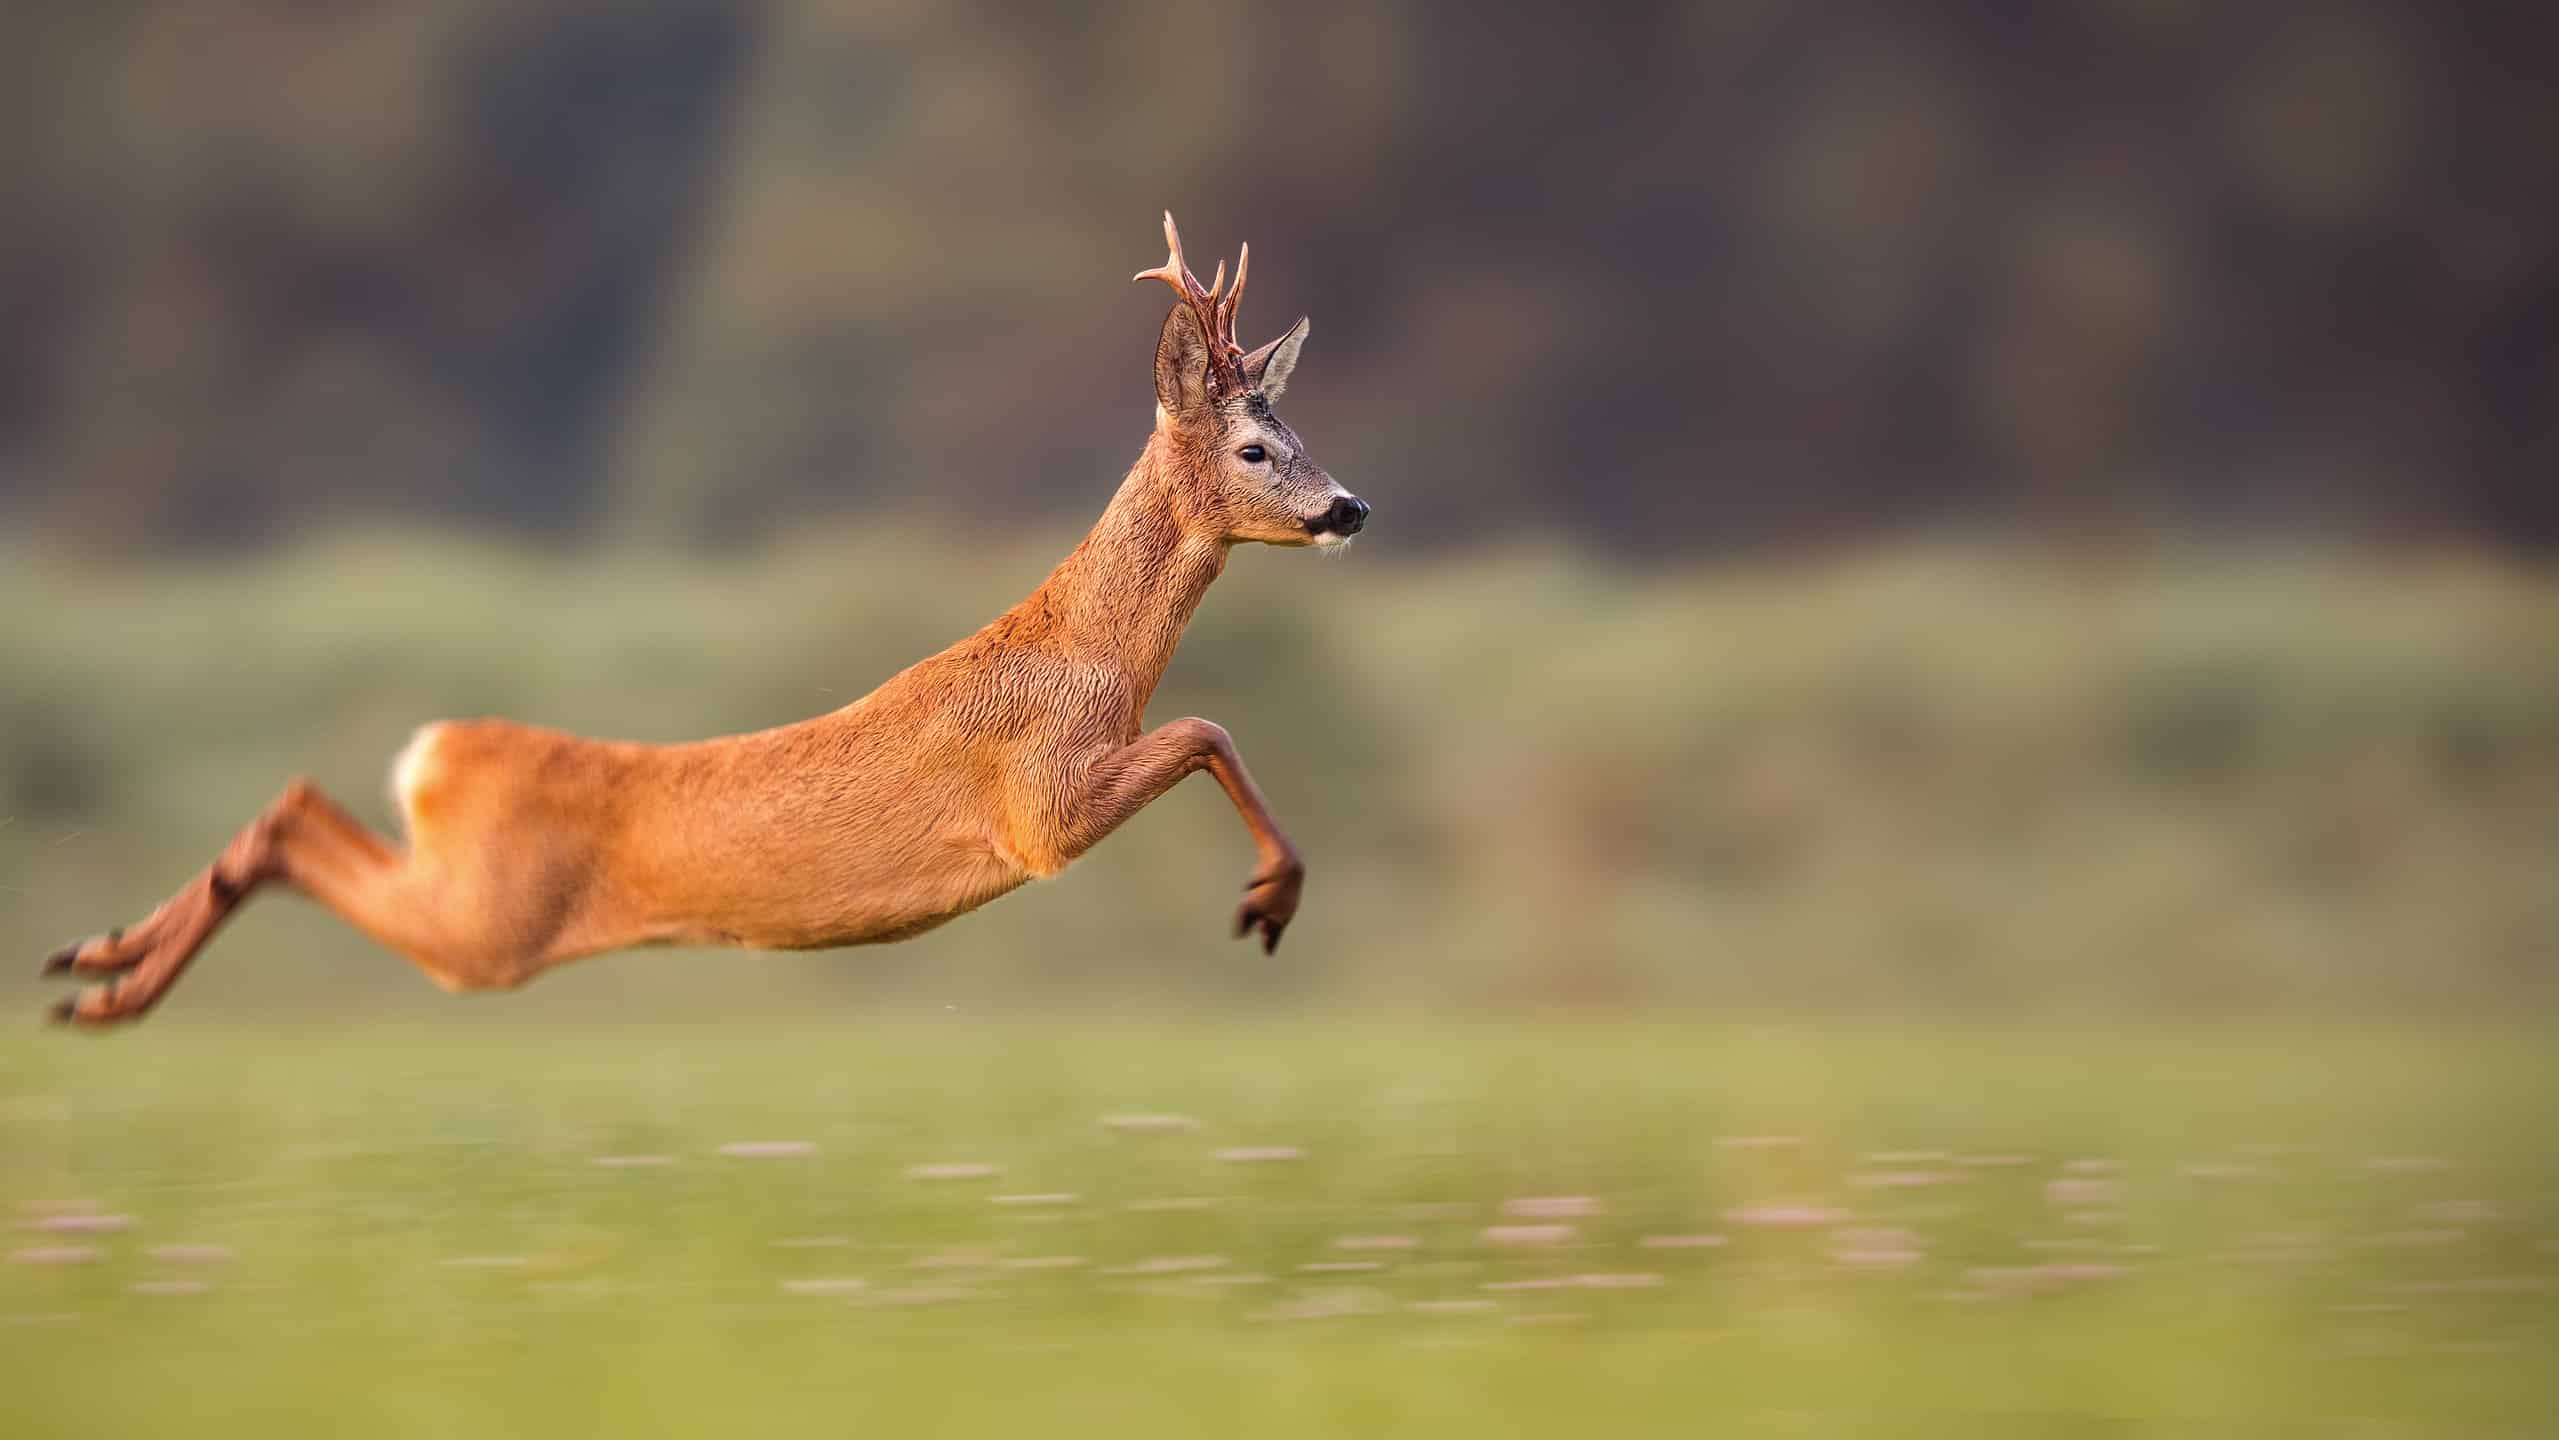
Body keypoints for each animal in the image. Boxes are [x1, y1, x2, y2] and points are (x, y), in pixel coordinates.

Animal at [40, 213, 1369, 1027]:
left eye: (1300, 432)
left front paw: (1275, 893)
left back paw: (92, 968)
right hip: (485, 926)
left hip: (469, 901)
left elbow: (1206, 730)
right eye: (1256, 449)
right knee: (296, 820)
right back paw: (102, 983)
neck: (1086, 658)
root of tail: (434, 754)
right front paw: (1269, 900)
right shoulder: (1041, 808)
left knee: (296, 807)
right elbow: (1205, 728)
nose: (1350, 506)